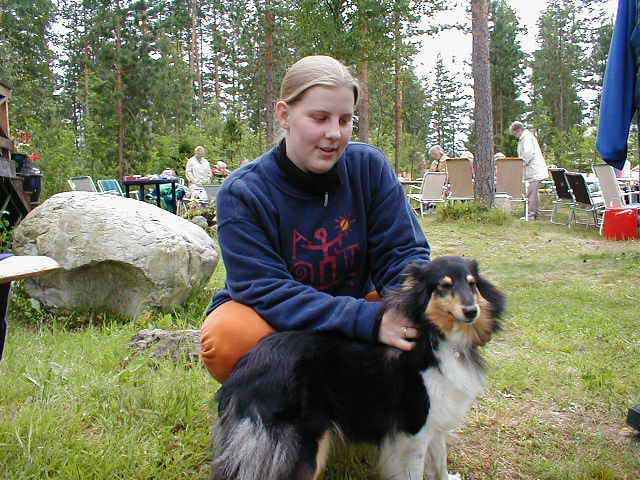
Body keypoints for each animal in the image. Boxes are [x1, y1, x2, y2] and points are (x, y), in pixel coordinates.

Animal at [211, 256, 505, 480]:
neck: (435, 337)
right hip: (303, 445)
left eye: (472, 284)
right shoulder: (415, 428)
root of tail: (245, 368)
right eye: (444, 286)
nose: (472, 311)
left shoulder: (436, 418)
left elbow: (440, 458)